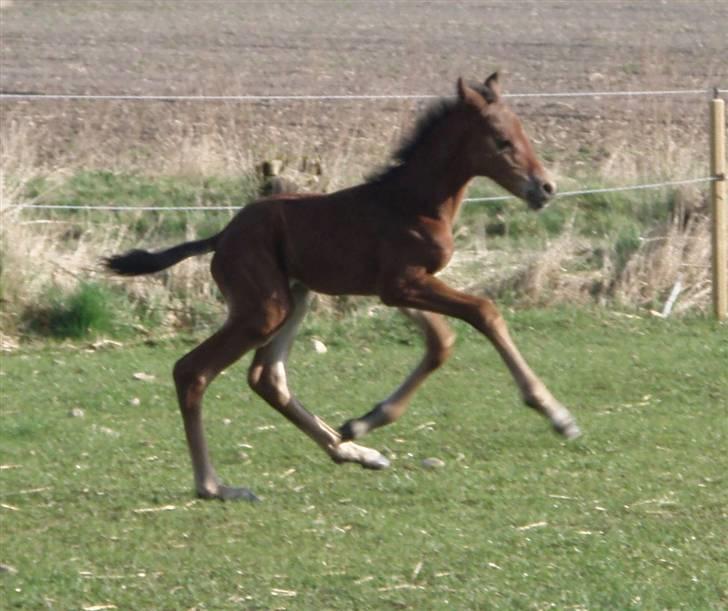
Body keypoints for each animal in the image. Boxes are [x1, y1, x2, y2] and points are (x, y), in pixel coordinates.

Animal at [106, 74, 580, 500]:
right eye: (501, 140)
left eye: (524, 132)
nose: (545, 188)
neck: (414, 202)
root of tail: (222, 236)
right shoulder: (403, 283)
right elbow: (484, 311)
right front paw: (556, 413)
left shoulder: (397, 288)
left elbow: (440, 343)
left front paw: (364, 421)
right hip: (264, 310)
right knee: (192, 370)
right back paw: (214, 486)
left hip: (295, 298)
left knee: (267, 378)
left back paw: (354, 451)